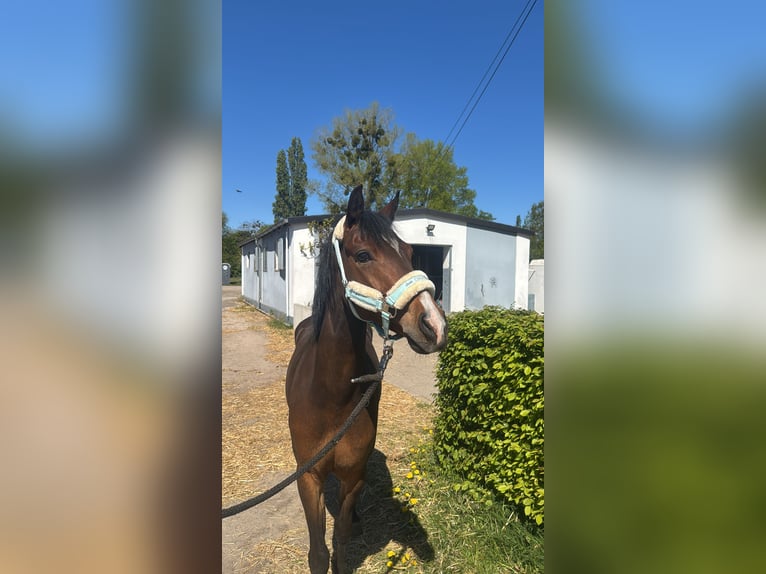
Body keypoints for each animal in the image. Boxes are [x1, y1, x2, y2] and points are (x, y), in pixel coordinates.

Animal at [286, 185, 448, 573]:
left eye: (409, 252)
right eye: (362, 254)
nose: (434, 325)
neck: (330, 396)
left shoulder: (353, 476)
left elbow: (342, 544)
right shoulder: (308, 478)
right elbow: (318, 554)